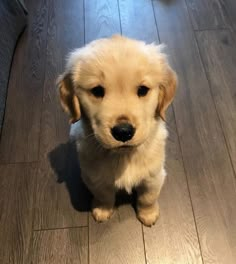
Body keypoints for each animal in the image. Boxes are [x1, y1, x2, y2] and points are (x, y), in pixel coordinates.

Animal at [58, 34, 177, 226]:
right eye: (97, 90)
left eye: (143, 90)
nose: (123, 132)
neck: (123, 157)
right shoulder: (93, 177)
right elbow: (103, 195)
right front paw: (103, 210)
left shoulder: (154, 176)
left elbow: (148, 197)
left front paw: (148, 214)